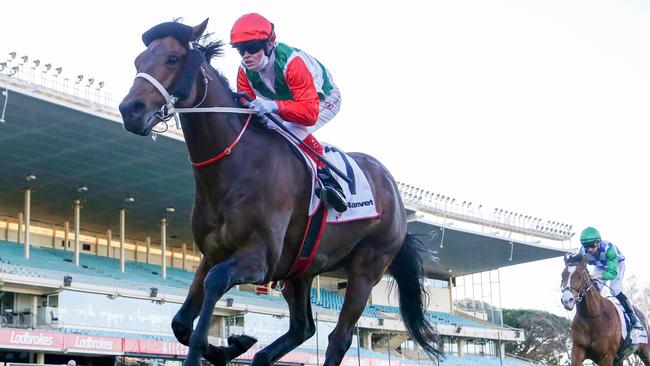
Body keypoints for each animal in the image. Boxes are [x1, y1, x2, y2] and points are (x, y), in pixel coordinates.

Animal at [117, 20, 440, 366]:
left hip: (368, 266)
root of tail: (393, 191)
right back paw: (260, 355)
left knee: (339, 338)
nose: (129, 110)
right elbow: (180, 321)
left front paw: (216, 348)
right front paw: (233, 345)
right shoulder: (213, 253)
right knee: (303, 327)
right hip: (300, 270)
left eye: (173, 59)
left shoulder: (260, 258)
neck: (236, 165)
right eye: (138, 61)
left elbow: (214, 284)